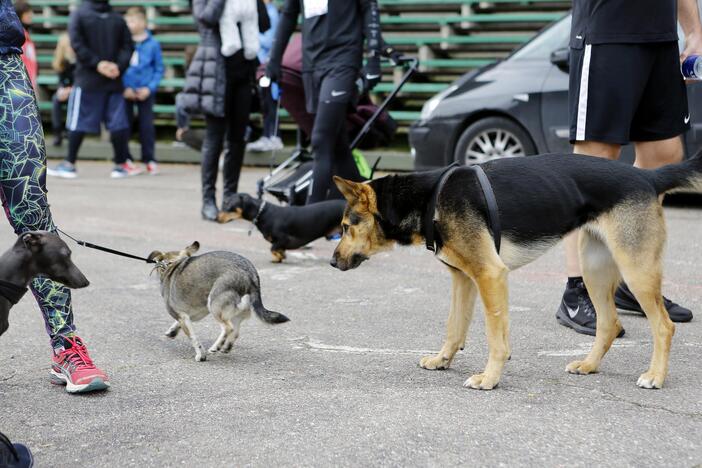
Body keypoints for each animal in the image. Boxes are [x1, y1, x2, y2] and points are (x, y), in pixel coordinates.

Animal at [148, 243, 288, 360]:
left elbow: (194, 338)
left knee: (228, 328)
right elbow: (180, 324)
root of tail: (250, 272)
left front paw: (200, 355)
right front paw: (172, 331)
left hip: (215, 306)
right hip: (234, 310)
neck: (172, 264)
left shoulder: (183, 316)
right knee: (235, 331)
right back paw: (226, 346)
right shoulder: (192, 315)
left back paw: (216, 347)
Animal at [216, 192, 346, 262]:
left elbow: (272, 248)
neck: (263, 213)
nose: (216, 218)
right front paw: (279, 257)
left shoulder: (283, 239)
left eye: (228, 205)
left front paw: (279, 256)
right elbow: (278, 250)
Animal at [330, 154, 702, 392]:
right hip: (594, 270)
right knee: (609, 324)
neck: (429, 199)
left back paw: (655, 376)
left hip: (636, 271)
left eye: (346, 226)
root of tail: (647, 176)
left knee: (663, 326)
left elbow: (496, 338)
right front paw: (442, 360)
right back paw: (588, 365)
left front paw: (489, 379)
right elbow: (454, 328)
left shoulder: (490, 275)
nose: (332, 263)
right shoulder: (464, 280)